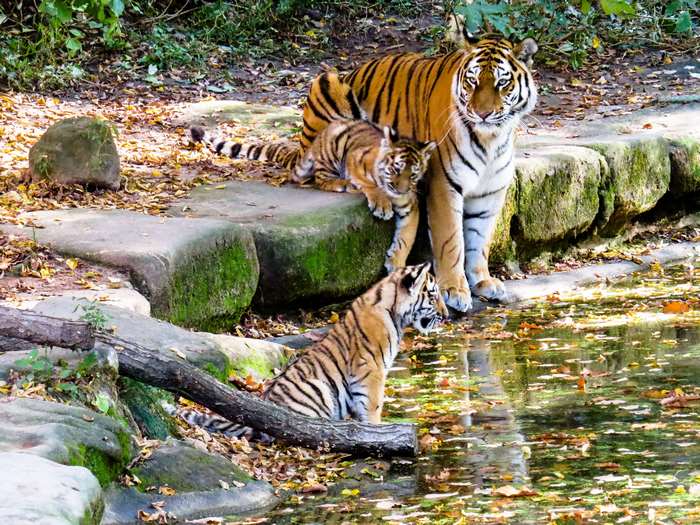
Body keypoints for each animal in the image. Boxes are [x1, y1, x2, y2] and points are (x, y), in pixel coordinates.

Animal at [171, 263, 448, 439]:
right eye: (433, 296)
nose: (447, 316)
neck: (395, 312)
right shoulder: (372, 370)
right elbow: (373, 406)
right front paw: (377, 431)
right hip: (319, 391)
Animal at [190, 119, 436, 272]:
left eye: (413, 174)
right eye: (396, 169)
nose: (401, 189)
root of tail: (318, 139)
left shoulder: (410, 207)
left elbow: (406, 238)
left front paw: (396, 263)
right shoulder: (354, 159)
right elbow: (370, 184)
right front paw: (381, 205)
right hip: (333, 151)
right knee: (319, 178)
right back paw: (342, 183)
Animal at [299, 34, 538, 312]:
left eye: (502, 83)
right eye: (472, 81)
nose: (482, 114)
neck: (492, 139)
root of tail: (351, 71)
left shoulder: (490, 192)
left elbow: (480, 238)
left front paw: (482, 281)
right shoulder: (445, 184)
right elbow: (451, 240)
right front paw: (455, 289)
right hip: (326, 85)